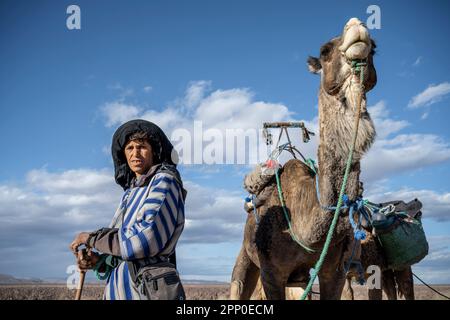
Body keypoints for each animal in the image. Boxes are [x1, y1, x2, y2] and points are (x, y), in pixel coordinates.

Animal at [230, 18, 378, 300]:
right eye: (324, 50)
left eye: (375, 48)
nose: (357, 27)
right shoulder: (271, 273)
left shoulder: (334, 271)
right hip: (246, 255)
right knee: (238, 283)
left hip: (300, 277)